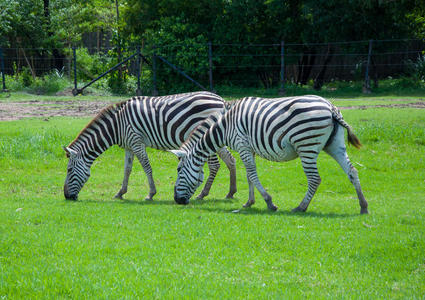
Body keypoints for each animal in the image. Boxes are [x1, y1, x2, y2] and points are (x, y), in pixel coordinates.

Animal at [63, 92, 235, 202]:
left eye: (69, 170)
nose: (67, 196)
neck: (116, 126)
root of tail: (221, 100)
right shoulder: (129, 146)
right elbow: (127, 169)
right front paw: (120, 193)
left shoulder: (136, 141)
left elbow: (146, 167)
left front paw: (151, 194)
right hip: (217, 136)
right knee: (230, 160)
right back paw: (230, 193)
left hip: (207, 136)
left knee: (215, 165)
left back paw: (202, 194)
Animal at [171, 95, 368, 214]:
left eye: (179, 170)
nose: (177, 201)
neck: (225, 125)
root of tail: (331, 107)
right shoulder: (249, 148)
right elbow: (249, 175)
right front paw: (249, 202)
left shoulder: (242, 145)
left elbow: (251, 174)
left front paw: (269, 202)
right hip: (335, 145)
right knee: (352, 171)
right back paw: (363, 206)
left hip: (306, 145)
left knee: (314, 178)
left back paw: (301, 207)